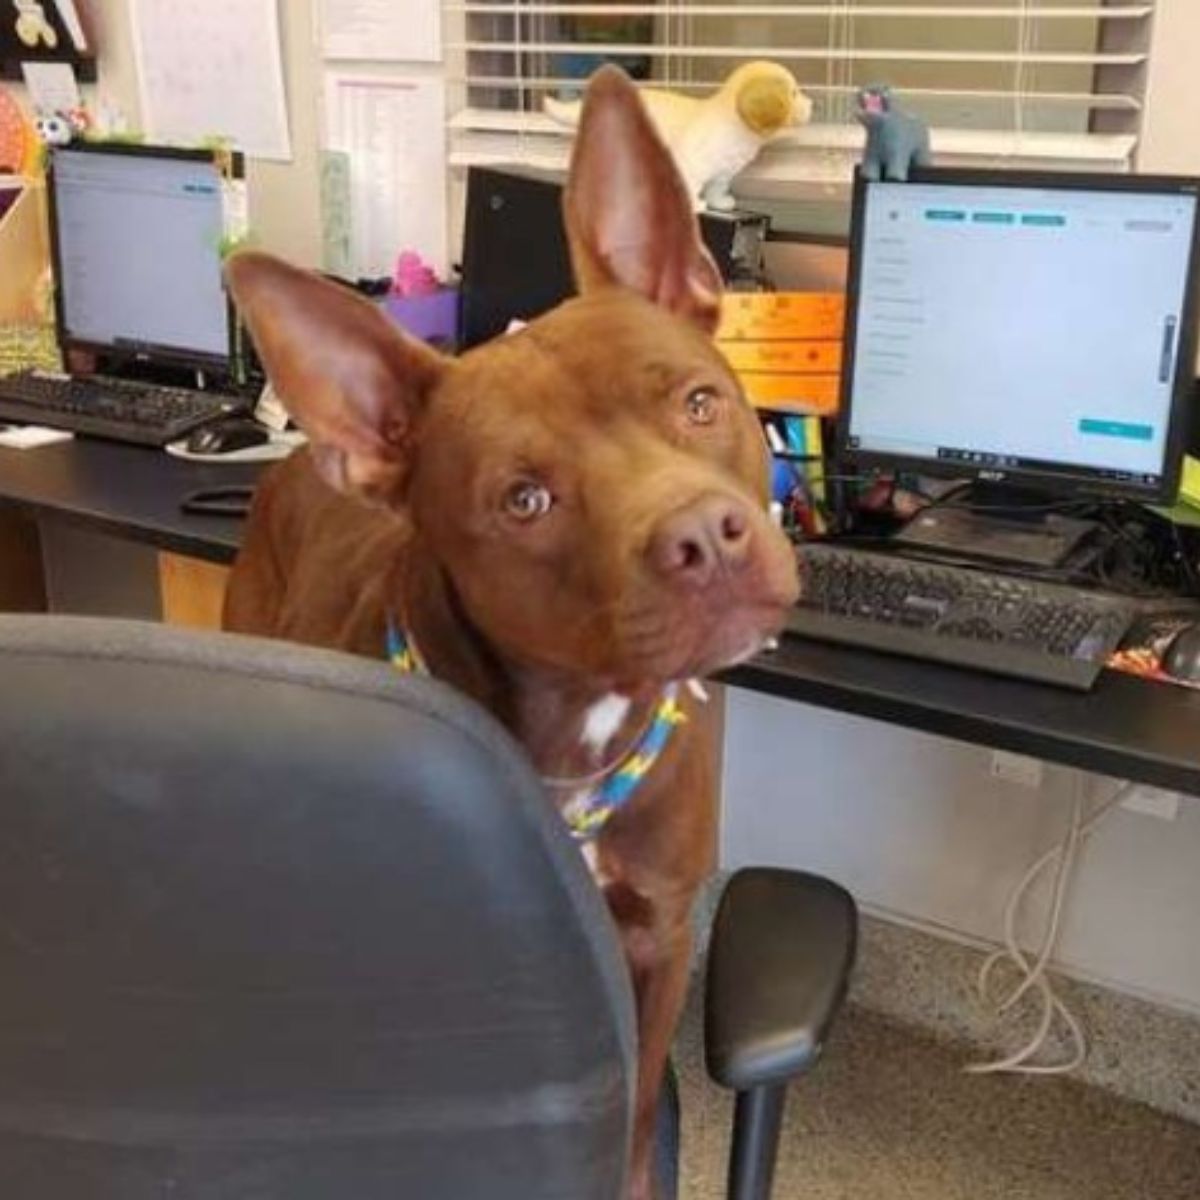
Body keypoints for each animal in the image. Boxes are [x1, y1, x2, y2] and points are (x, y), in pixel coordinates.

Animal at [222, 65, 801, 1200]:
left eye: (700, 403)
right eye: (525, 501)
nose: (705, 541)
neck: (577, 732)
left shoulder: (659, 939)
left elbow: (633, 1119)